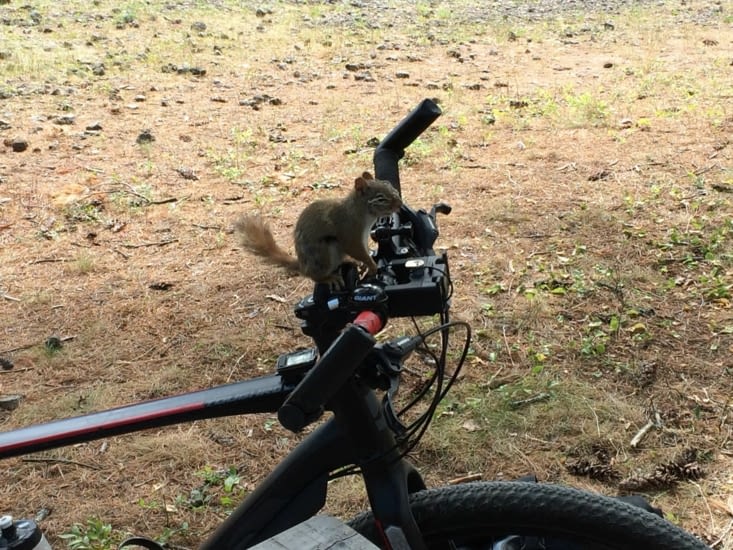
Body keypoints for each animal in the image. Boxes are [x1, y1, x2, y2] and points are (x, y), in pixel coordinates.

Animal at [234, 171, 400, 284]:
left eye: (390, 185)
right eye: (380, 198)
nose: (399, 204)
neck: (362, 213)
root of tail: (303, 266)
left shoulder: (363, 237)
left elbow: (364, 250)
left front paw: (365, 263)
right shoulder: (349, 232)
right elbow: (357, 250)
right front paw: (371, 265)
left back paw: (348, 261)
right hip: (324, 253)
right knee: (315, 277)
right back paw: (328, 278)